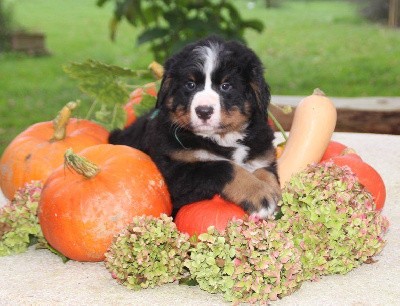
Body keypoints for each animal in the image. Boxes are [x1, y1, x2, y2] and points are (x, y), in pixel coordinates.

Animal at [108, 35, 280, 218]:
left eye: (226, 86)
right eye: (190, 85)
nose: (204, 111)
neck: (223, 139)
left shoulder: (263, 154)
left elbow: (265, 171)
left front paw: (273, 194)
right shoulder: (178, 172)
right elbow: (224, 167)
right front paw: (260, 194)